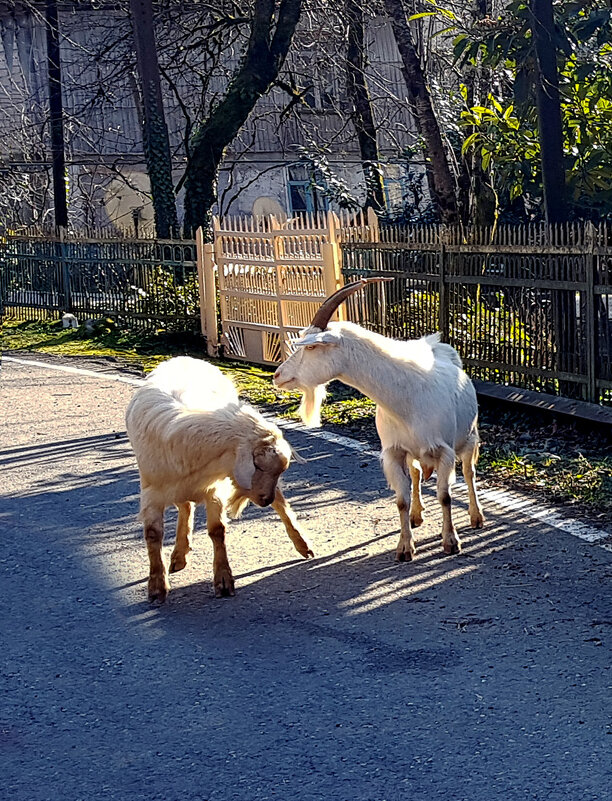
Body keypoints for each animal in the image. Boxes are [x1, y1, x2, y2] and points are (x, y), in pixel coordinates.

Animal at [126, 356, 314, 600]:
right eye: (258, 466)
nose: (265, 500)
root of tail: (184, 357)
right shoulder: (152, 492)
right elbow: (153, 534)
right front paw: (157, 585)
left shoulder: (214, 488)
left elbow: (217, 531)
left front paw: (223, 579)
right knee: (185, 507)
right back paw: (179, 554)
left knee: (281, 504)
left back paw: (302, 544)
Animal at [274, 282, 486, 564]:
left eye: (310, 347)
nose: (278, 375)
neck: (406, 396)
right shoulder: (393, 452)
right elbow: (401, 500)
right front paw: (405, 547)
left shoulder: (445, 452)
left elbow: (445, 496)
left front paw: (451, 542)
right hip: (412, 452)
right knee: (416, 474)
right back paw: (417, 515)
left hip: (469, 438)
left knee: (469, 473)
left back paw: (476, 516)